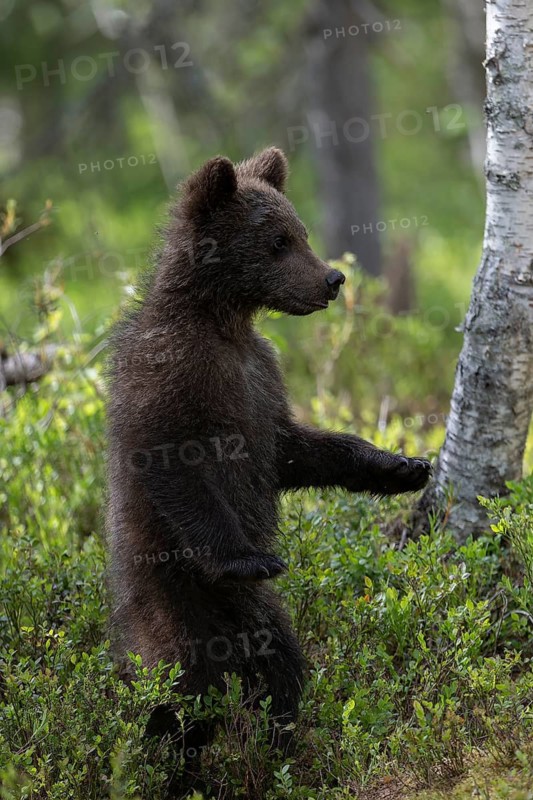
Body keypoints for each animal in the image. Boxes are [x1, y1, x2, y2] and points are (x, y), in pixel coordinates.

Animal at [106, 146, 431, 788]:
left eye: (300, 232)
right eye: (278, 242)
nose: (333, 278)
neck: (224, 322)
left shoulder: (260, 382)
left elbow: (296, 450)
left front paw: (401, 464)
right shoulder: (171, 382)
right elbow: (179, 471)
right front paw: (247, 554)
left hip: (260, 619)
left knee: (282, 669)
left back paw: (279, 740)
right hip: (172, 608)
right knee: (179, 698)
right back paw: (168, 765)